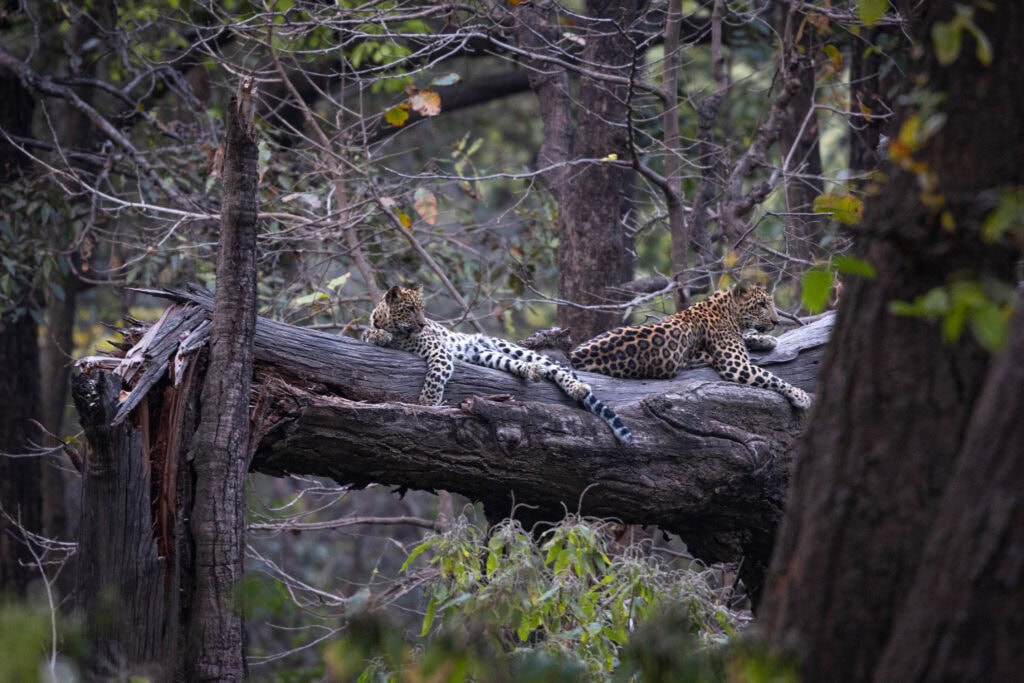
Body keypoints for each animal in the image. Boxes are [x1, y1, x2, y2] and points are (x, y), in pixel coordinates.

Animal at [362, 285, 633, 444]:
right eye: (409, 309)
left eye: (421, 309)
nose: (423, 324)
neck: (397, 329)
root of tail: (475, 343)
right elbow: (369, 333)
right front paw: (380, 336)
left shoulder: (439, 351)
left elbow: (435, 375)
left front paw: (428, 402)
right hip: (487, 356)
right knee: (521, 365)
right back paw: (531, 371)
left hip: (509, 347)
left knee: (556, 367)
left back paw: (576, 387)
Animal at [569, 282, 811, 409]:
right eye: (761, 304)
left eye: (769, 303)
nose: (777, 322)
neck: (727, 310)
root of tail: (573, 356)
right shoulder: (736, 366)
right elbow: (773, 378)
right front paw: (801, 395)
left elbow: (749, 337)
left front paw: (766, 340)